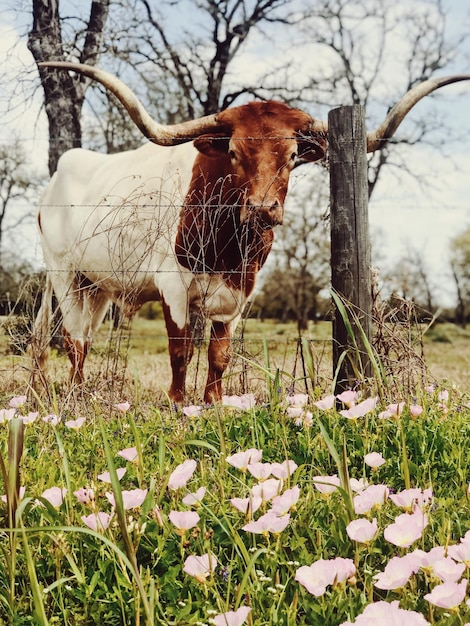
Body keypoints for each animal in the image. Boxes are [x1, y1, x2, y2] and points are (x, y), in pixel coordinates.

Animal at [32, 63, 470, 402]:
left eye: (292, 156)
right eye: (233, 152)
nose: (262, 208)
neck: (229, 242)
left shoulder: (239, 292)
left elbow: (219, 355)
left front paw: (212, 403)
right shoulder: (173, 286)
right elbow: (180, 352)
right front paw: (177, 404)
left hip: (97, 286)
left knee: (84, 337)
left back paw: (81, 391)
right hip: (64, 275)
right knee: (73, 338)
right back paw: (75, 396)